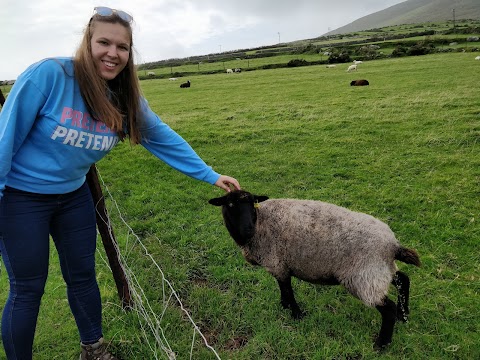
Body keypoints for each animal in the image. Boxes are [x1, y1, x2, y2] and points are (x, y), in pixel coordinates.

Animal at [208, 190, 422, 350]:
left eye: (252, 204)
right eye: (230, 205)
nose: (248, 230)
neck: (260, 222)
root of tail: (392, 245)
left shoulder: (277, 263)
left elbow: (288, 289)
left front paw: (296, 315)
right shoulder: (279, 265)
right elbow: (283, 288)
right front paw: (284, 306)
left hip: (363, 277)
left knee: (388, 308)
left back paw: (382, 344)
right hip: (379, 270)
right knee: (403, 280)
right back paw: (404, 315)